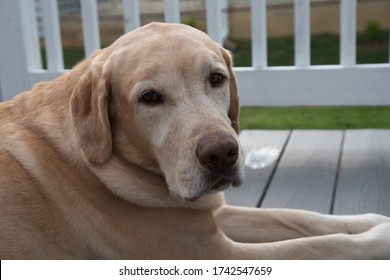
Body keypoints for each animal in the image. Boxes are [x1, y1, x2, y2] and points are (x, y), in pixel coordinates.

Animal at [0, 23, 390, 260]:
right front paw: (379, 238)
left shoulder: (208, 212)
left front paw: (369, 219)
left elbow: (300, 217)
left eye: (216, 78)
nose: (222, 154)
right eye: (149, 98)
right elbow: (321, 245)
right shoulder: (217, 254)